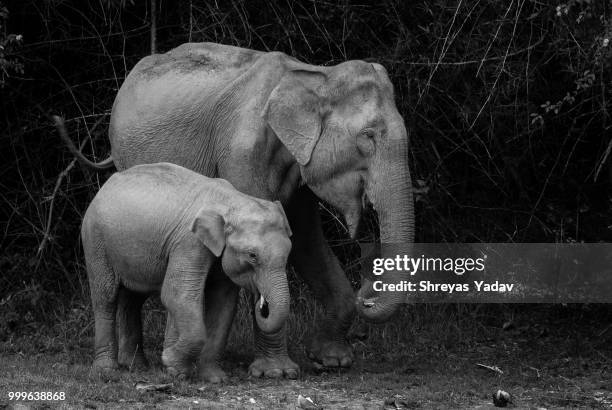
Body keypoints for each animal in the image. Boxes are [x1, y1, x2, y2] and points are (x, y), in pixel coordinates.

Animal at [82, 163, 292, 378]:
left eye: (289, 252)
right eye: (252, 255)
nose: (261, 304)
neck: (232, 200)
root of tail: (105, 185)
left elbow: (223, 303)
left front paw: (213, 377)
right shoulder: (189, 242)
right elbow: (177, 294)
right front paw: (173, 364)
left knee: (132, 298)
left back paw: (137, 366)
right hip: (95, 240)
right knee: (105, 297)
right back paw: (106, 371)